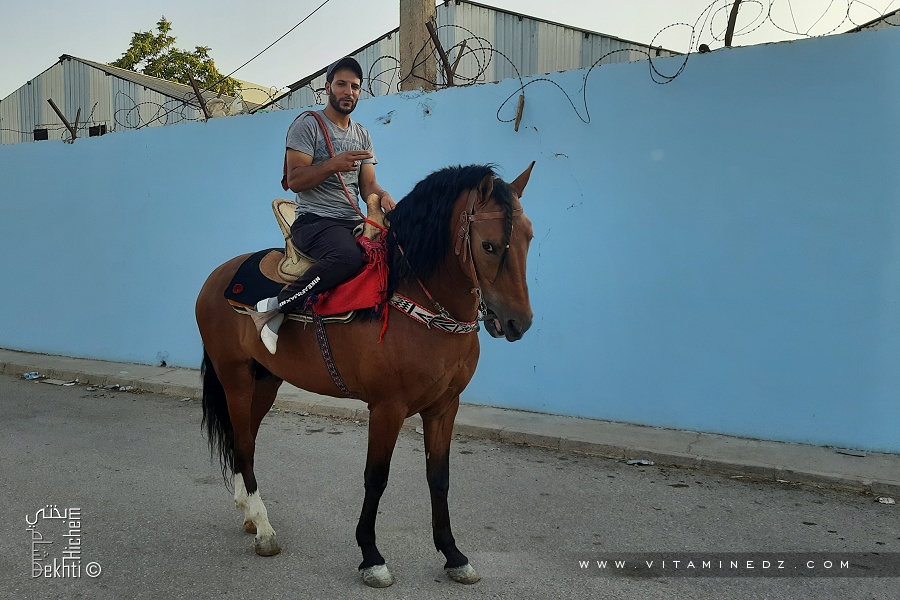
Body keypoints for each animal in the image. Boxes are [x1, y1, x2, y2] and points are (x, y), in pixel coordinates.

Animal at [195, 162, 535, 587]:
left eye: (528, 237)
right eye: (489, 246)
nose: (518, 322)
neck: (417, 300)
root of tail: (218, 276)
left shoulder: (444, 407)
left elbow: (439, 478)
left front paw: (453, 555)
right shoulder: (387, 408)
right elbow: (376, 478)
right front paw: (371, 557)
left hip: (265, 382)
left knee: (247, 444)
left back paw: (251, 516)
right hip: (235, 379)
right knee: (241, 443)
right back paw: (264, 529)